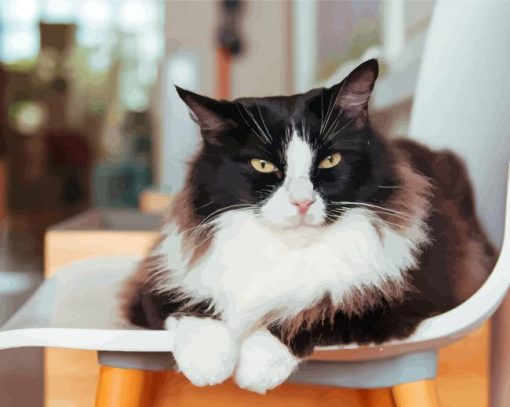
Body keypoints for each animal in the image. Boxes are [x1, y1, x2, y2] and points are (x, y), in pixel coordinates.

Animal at [123, 59, 494, 394]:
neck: (287, 251)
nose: (301, 202)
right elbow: (192, 310)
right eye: (262, 165)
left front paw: (255, 367)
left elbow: (311, 314)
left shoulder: (402, 299)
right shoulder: (154, 282)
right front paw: (208, 363)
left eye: (330, 160)